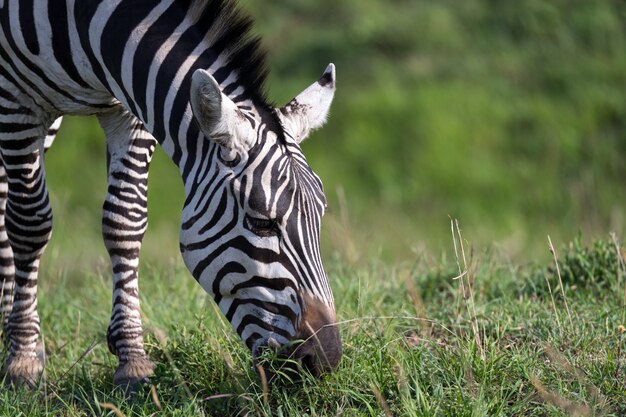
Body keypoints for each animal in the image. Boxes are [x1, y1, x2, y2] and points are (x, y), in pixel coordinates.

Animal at [0, 0, 342, 386]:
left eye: (321, 216)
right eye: (262, 223)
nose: (325, 359)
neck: (88, 21)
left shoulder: (130, 107)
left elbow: (124, 223)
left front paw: (132, 360)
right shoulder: (16, 97)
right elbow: (29, 224)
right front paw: (23, 361)